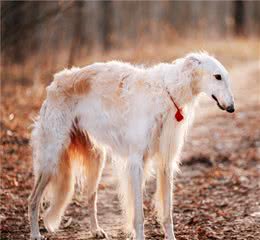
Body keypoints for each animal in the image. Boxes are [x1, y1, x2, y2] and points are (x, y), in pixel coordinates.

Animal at [29, 51, 236, 239]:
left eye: (226, 77)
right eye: (217, 76)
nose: (232, 108)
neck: (167, 92)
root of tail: (55, 83)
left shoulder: (165, 162)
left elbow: (167, 214)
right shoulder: (136, 161)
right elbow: (139, 216)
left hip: (96, 158)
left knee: (91, 196)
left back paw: (96, 230)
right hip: (51, 157)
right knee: (33, 199)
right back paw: (35, 234)